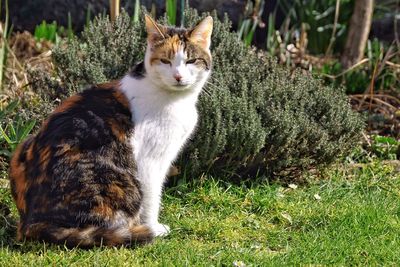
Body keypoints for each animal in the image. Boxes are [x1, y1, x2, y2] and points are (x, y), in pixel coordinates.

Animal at [8, 14, 212, 249]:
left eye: (190, 61)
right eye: (165, 61)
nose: (178, 76)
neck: (176, 100)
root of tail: (29, 222)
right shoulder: (150, 161)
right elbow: (152, 198)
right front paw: (154, 228)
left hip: (23, 144)